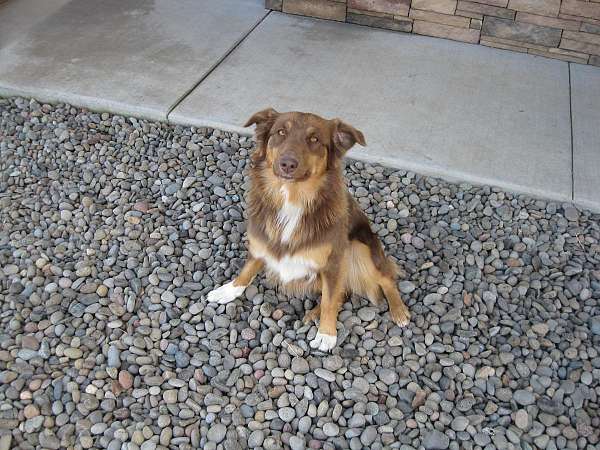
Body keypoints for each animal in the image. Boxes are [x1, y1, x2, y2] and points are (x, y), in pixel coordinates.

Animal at [209, 109, 410, 352]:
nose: (287, 164)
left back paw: (399, 311)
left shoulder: (334, 261)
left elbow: (330, 300)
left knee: (385, 278)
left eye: (314, 139)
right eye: (280, 132)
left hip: (358, 246)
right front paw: (229, 289)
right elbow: (247, 270)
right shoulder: (260, 243)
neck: (292, 199)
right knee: (344, 291)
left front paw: (326, 334)